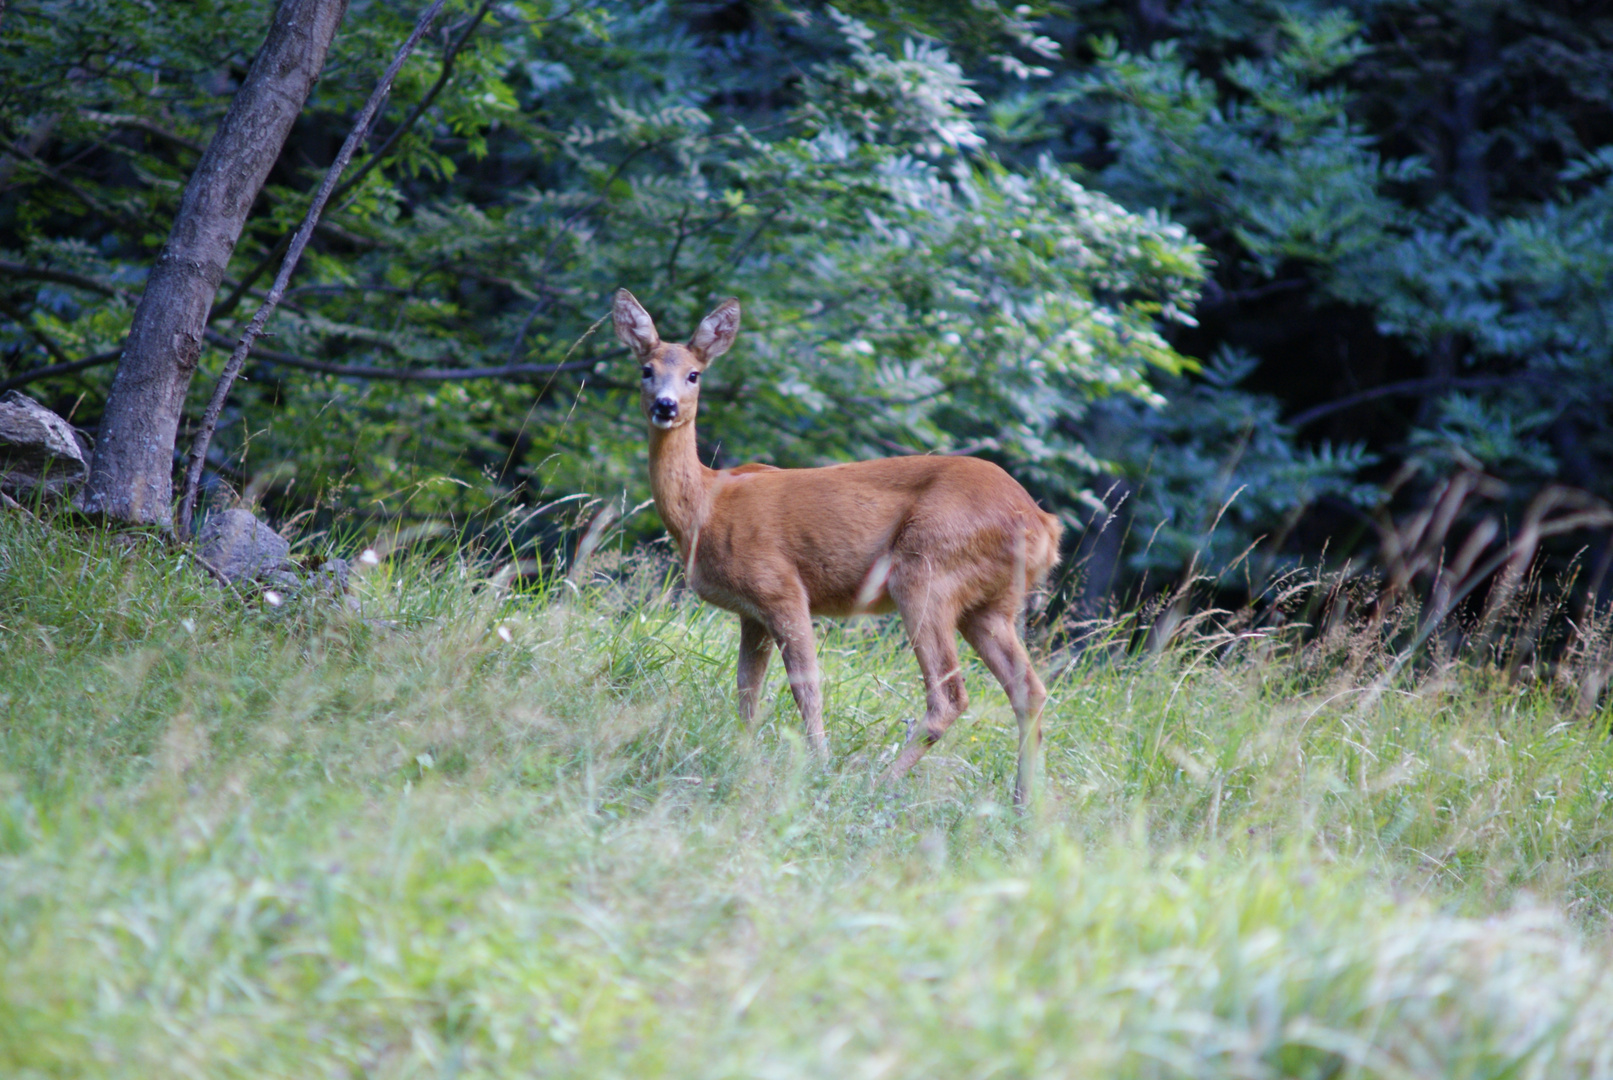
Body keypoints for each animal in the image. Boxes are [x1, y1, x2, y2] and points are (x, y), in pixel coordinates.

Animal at [612, 286, 1058, 802]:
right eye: (646, 369)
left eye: (693, 374)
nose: (665, 406)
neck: (707, 504)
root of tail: (1044, 524)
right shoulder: (750, 612)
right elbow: (747, 691)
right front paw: (743, 755)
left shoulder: (780, 586)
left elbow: (806, 686)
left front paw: (817, 766)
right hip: (989, 604)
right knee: (1028, 689)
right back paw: (1023, 801)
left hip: (926, 570)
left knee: (950, 694)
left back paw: (877, 784)